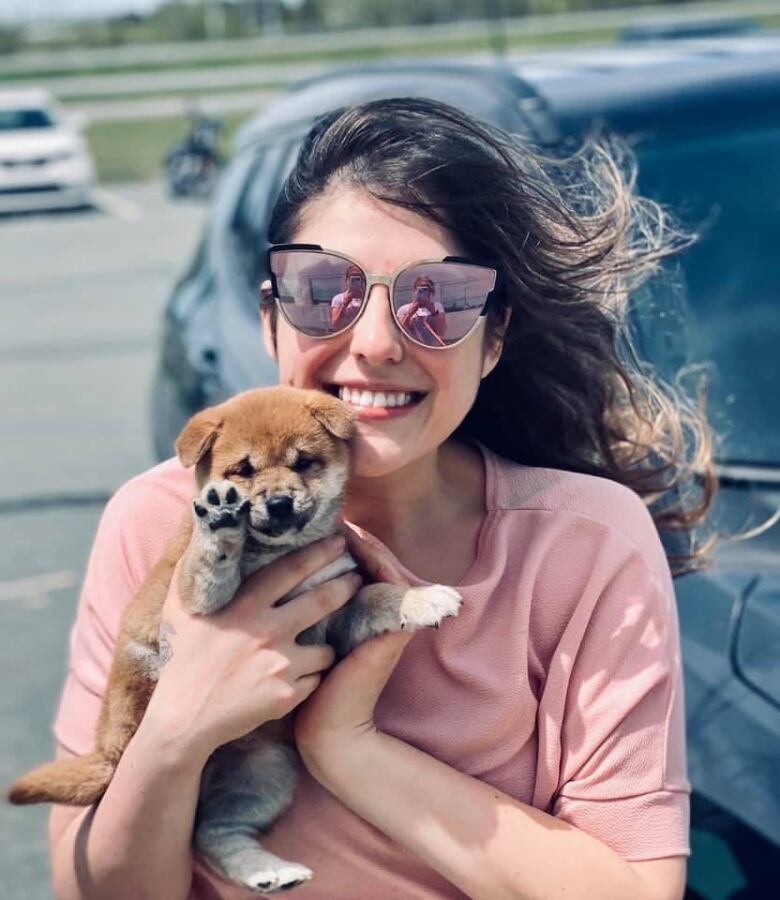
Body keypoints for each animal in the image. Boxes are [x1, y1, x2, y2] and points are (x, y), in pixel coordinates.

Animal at [9, 384, 460, 892]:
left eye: (304, 462)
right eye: (243, 470)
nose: (279, 502)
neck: (278, 553)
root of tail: (106, 749)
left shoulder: (336, 614)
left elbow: (377, 595)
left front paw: (420, 599)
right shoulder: (196, 596)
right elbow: (210, 564)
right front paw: (221, 526)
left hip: (264, 773)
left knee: (213, 833)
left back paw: (268, 871)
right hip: (143, 686)